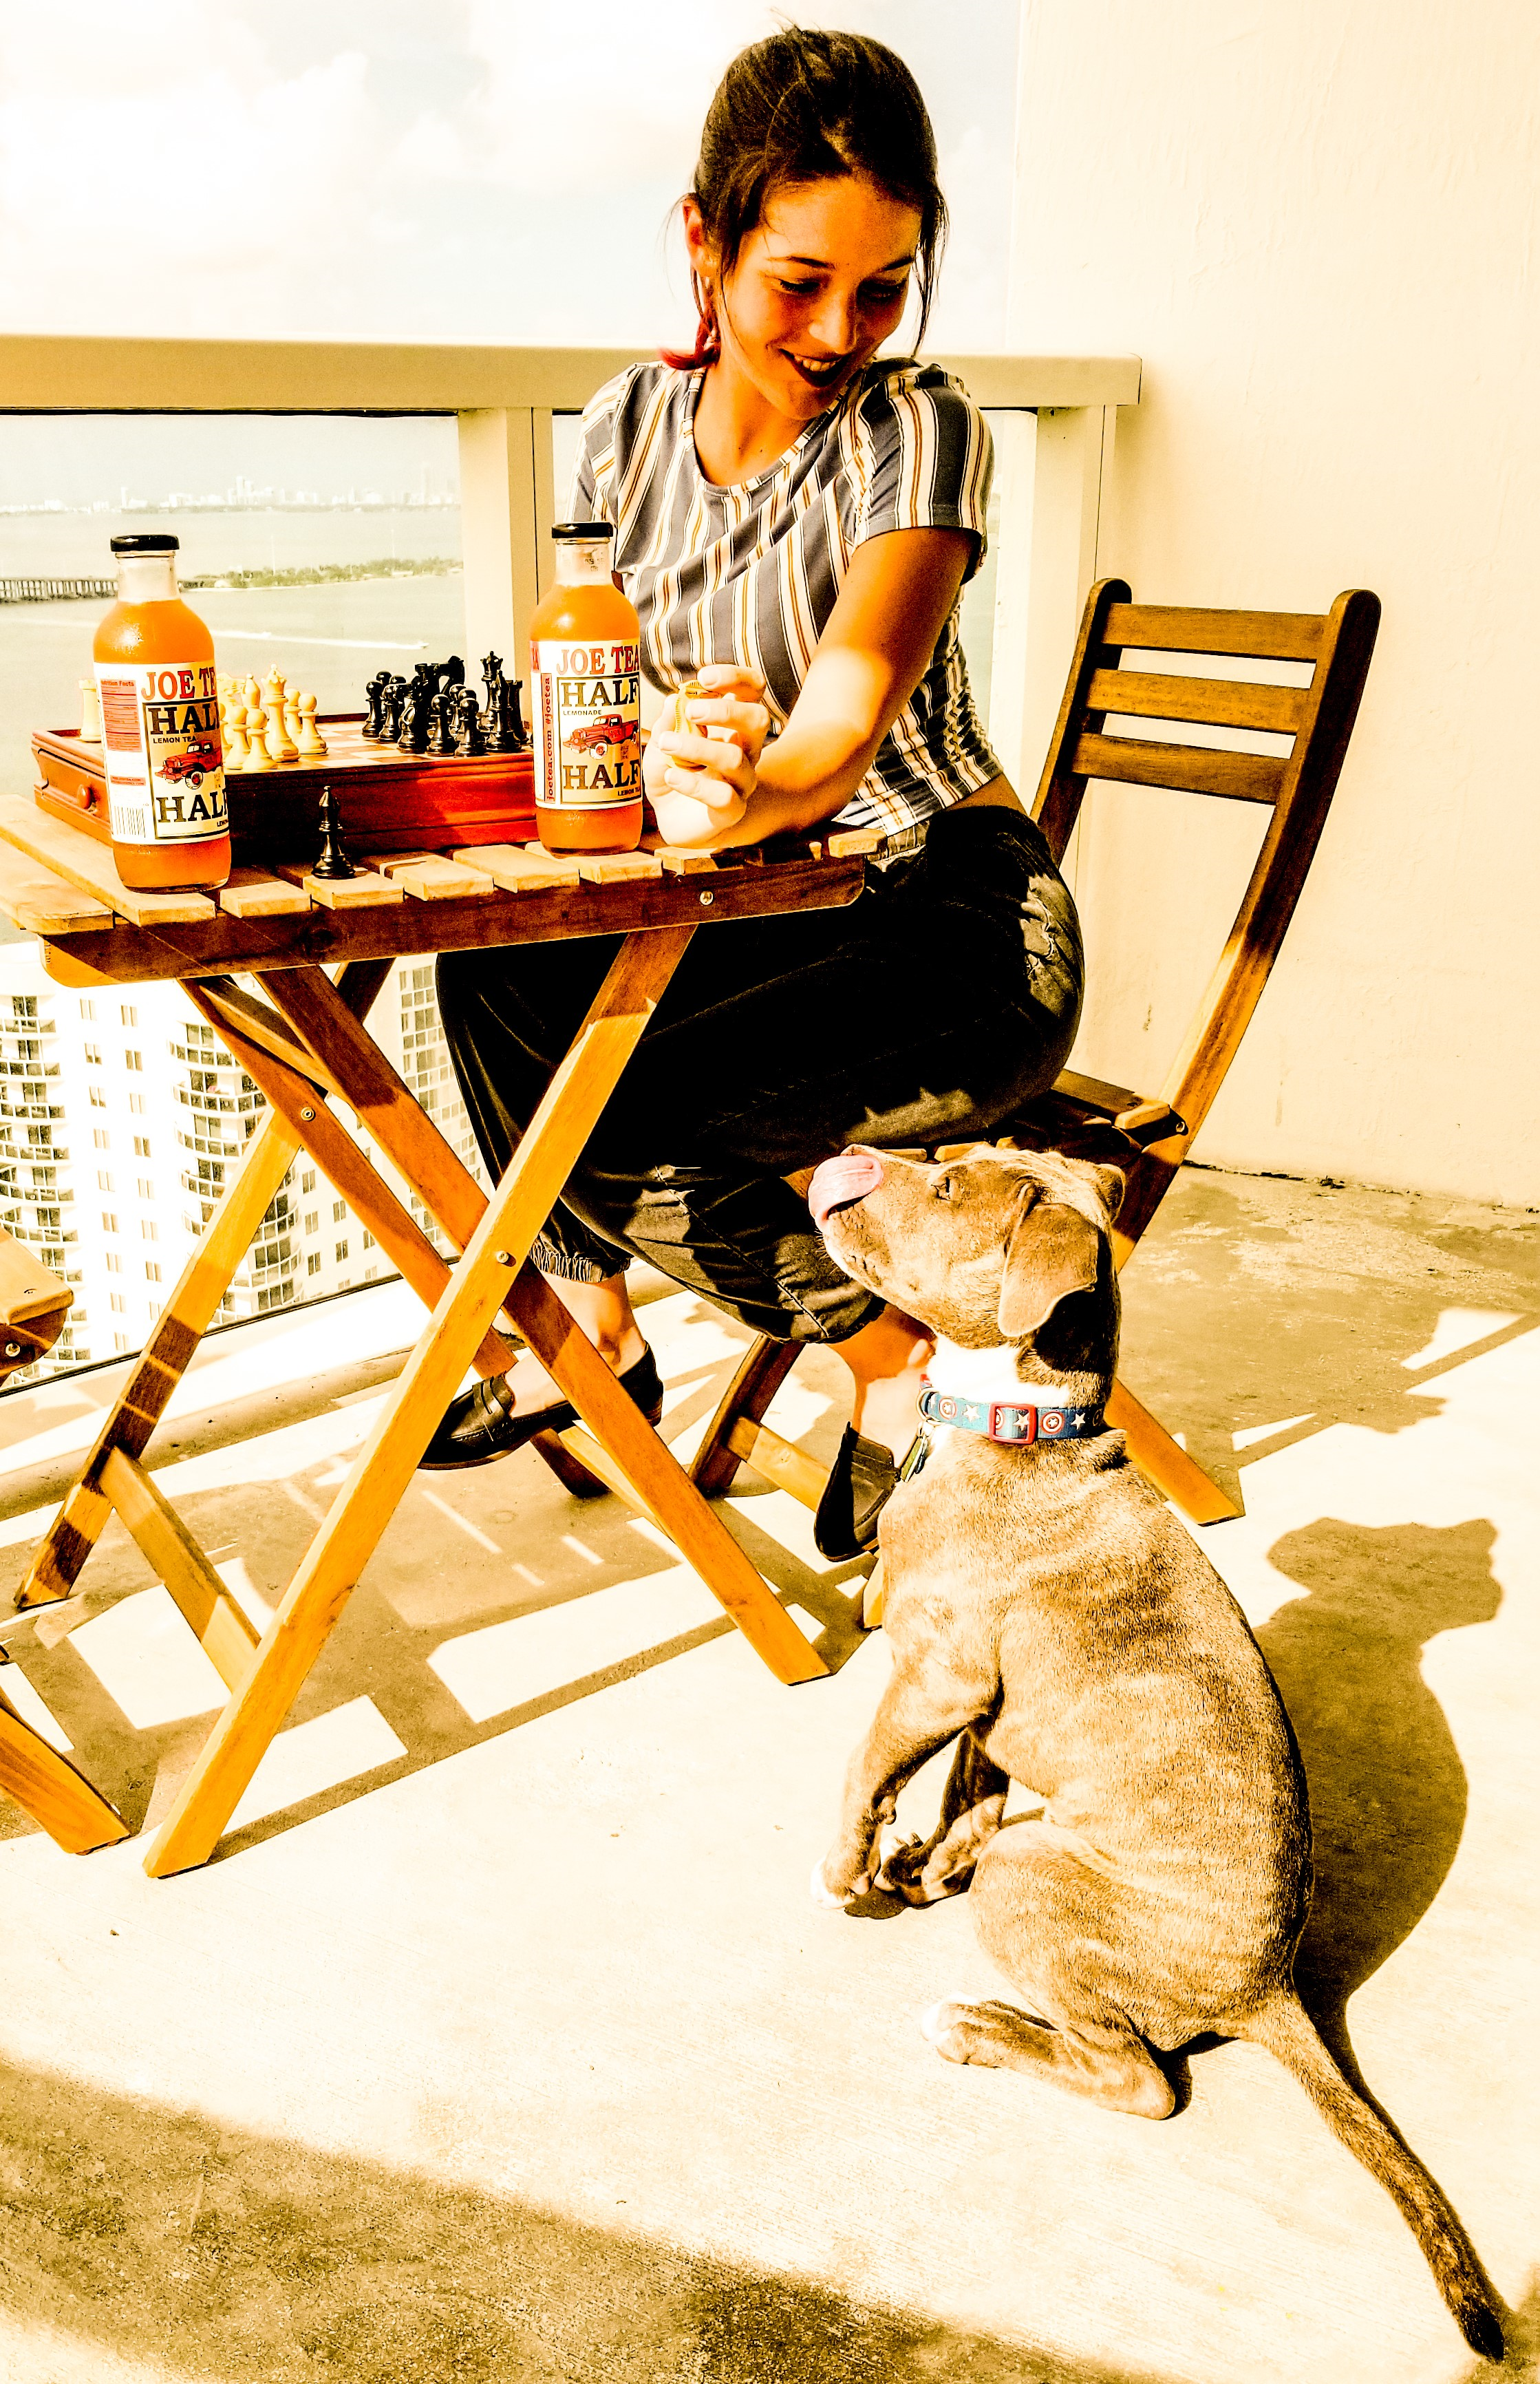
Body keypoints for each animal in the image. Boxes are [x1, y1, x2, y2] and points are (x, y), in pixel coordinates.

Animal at [801, 1144, 1506, 2355]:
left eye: (942, 1190)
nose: (847, 1154)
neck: (1016, 1415)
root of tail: (1271, 1991)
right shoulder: (984, 1713)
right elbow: (964, 1798)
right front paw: (917, 1867)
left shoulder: (936, 1678)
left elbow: (868, 1769)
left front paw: (849, 1867)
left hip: (1040, 1881)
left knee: (1144, 2084)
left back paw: (981, 2026)